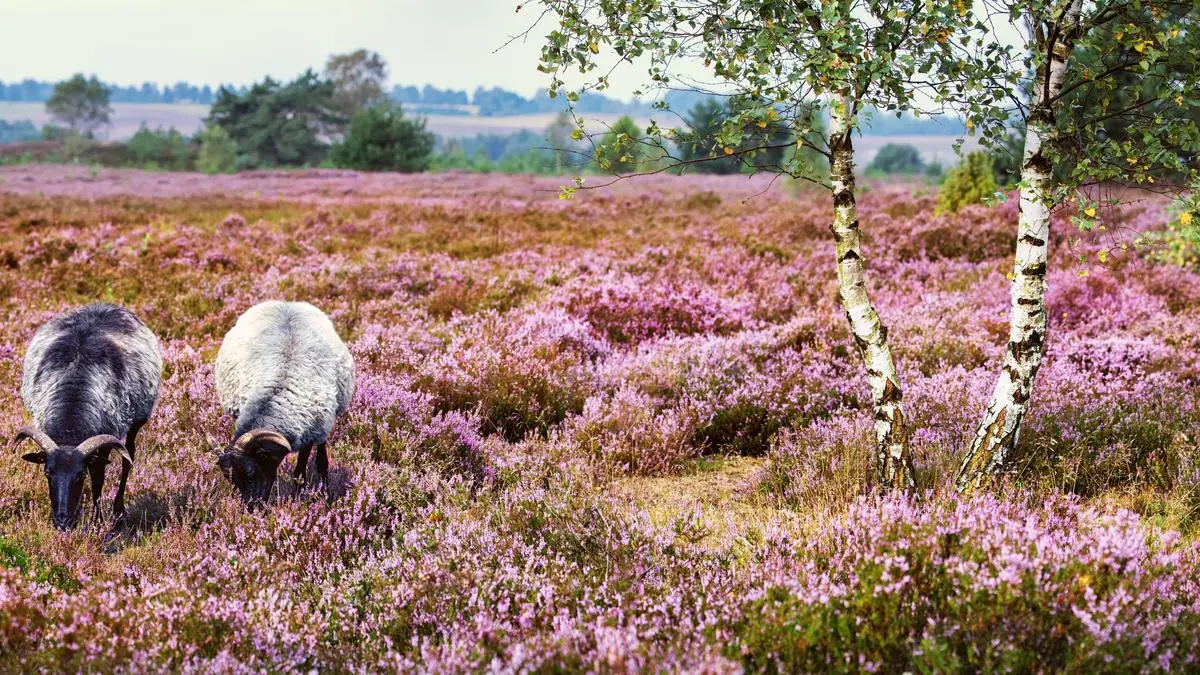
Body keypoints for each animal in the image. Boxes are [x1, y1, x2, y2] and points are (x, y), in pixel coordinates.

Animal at [15, 303, 162, 531]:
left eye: (80, 475)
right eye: (47, 472)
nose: (62, 522)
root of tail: (105, 305)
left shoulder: (105, 440)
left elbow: (98, 479)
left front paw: (96, 522)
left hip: (137, 420)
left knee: (128, 456)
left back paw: (119, 512)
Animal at [214, 301, 354, 506]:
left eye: (251, 473)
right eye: (229, 478)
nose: (251, 507)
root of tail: (288, 303)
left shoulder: (310, 433)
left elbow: (300, 473)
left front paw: (299, 501)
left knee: (322, 457)